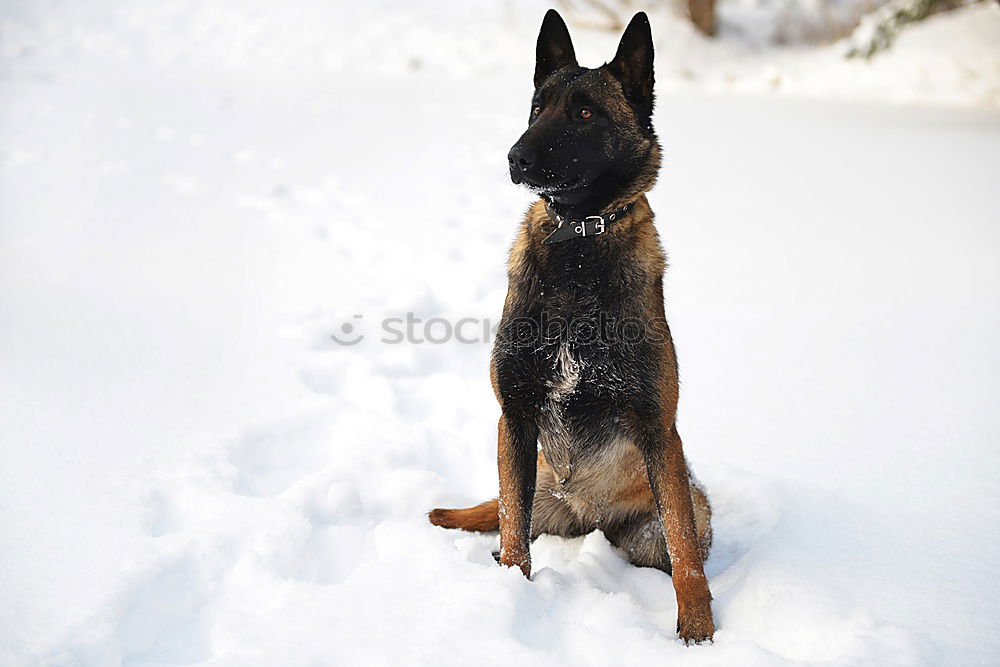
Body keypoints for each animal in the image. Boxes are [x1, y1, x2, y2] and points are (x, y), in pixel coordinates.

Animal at [426, 9, 716, 640]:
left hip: (672, 513)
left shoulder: (659, 428)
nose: (516, 157)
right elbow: (513, 530)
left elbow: (684, 549)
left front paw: (699, 631)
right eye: (538, 108)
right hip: (532, 477)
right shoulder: (514, 414)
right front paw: (510, 592)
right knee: (508, 516)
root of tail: (586, 517)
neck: (578, 243)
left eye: (585, 113)